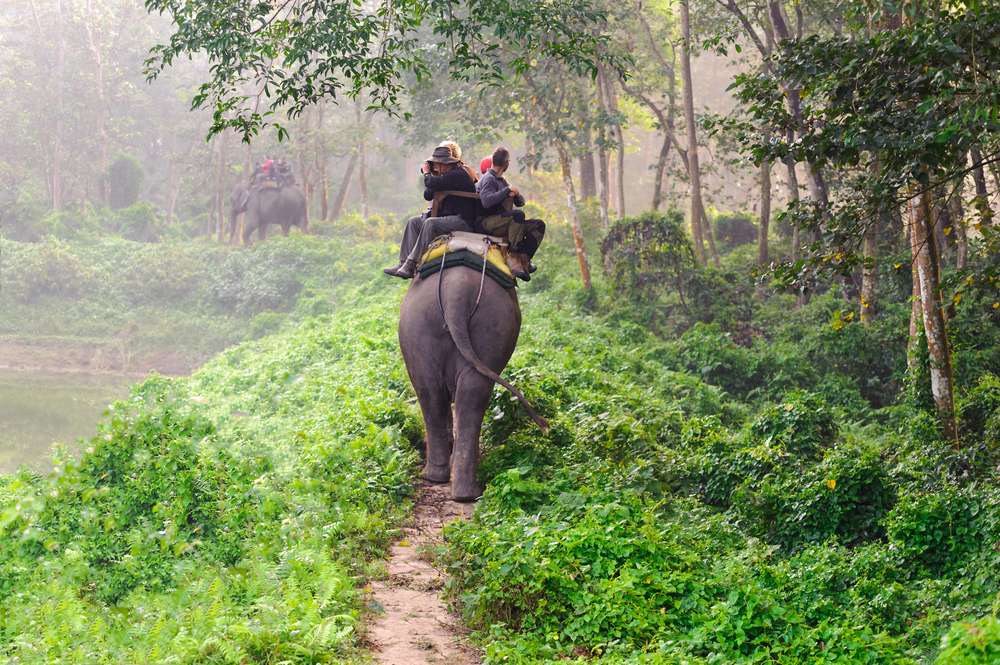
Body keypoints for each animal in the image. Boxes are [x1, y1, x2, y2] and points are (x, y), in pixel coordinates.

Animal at [398, 264, 549, 502]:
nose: (530, 268)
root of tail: (457, 290)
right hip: (482, 322)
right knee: (460, 393)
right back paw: (461, 489)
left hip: (426, 325)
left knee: (437, 392)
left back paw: (449, 484)